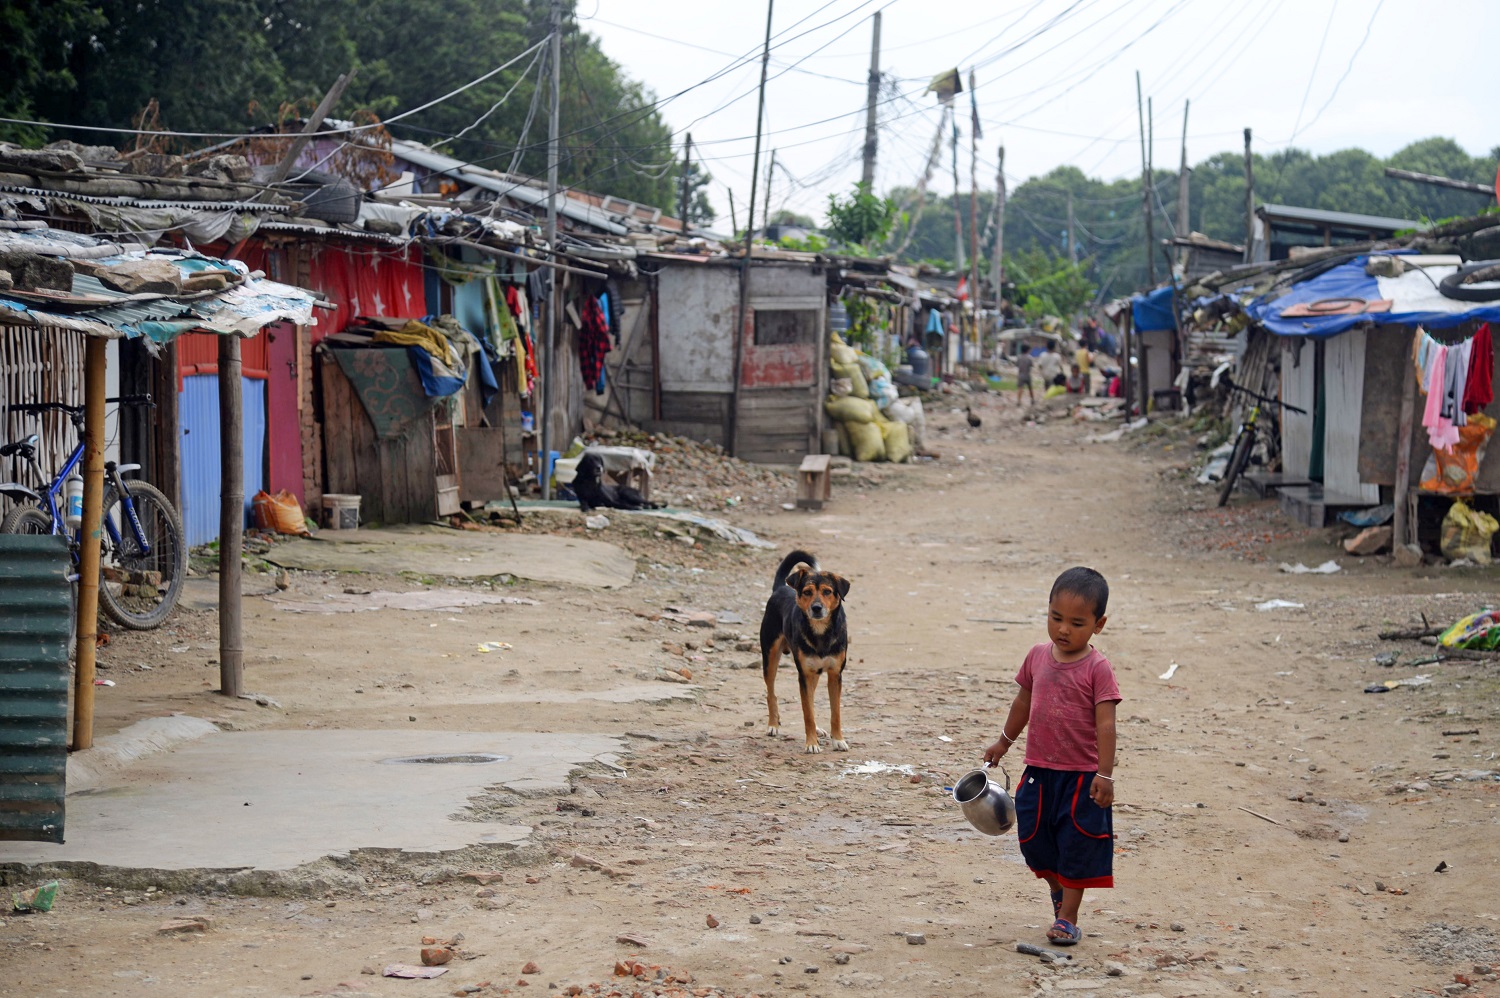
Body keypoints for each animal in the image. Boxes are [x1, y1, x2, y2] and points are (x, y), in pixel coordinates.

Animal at [756, 549, 852, 750]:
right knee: (771, 693)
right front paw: (811, 744)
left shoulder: (835, 675)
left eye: (827, 591)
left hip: (813, 673)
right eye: (807, 592)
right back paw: (773, 725)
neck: (821, 632)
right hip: (770, 658)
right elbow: (808, 713)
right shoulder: (804, 675)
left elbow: (835, 712)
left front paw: (838, 739)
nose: (816, 608)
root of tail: (780, 588)